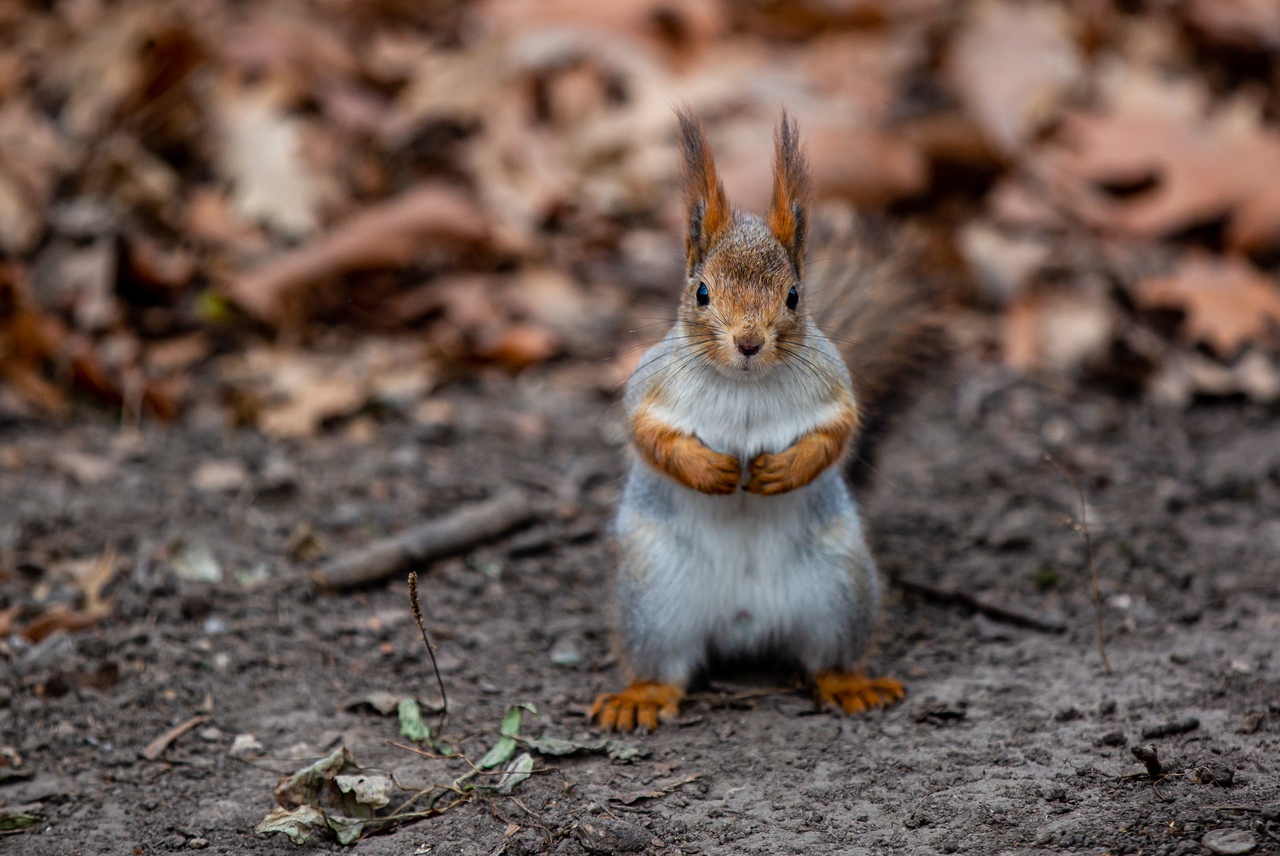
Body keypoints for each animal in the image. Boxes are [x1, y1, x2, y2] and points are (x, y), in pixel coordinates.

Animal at [588, 110, 942, 731]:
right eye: (701, 292)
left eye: (795, 296)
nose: (750, 342)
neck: (746, 385)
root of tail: (743, 624)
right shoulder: (649, 389)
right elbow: (649, 435)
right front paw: (711, 471)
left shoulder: (835, 388)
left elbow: (837, 433)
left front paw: (783, 471)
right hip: (653, 600)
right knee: (664, 665)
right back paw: (643, 696)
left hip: (838, 589)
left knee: (828, 656)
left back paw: (851, 684)